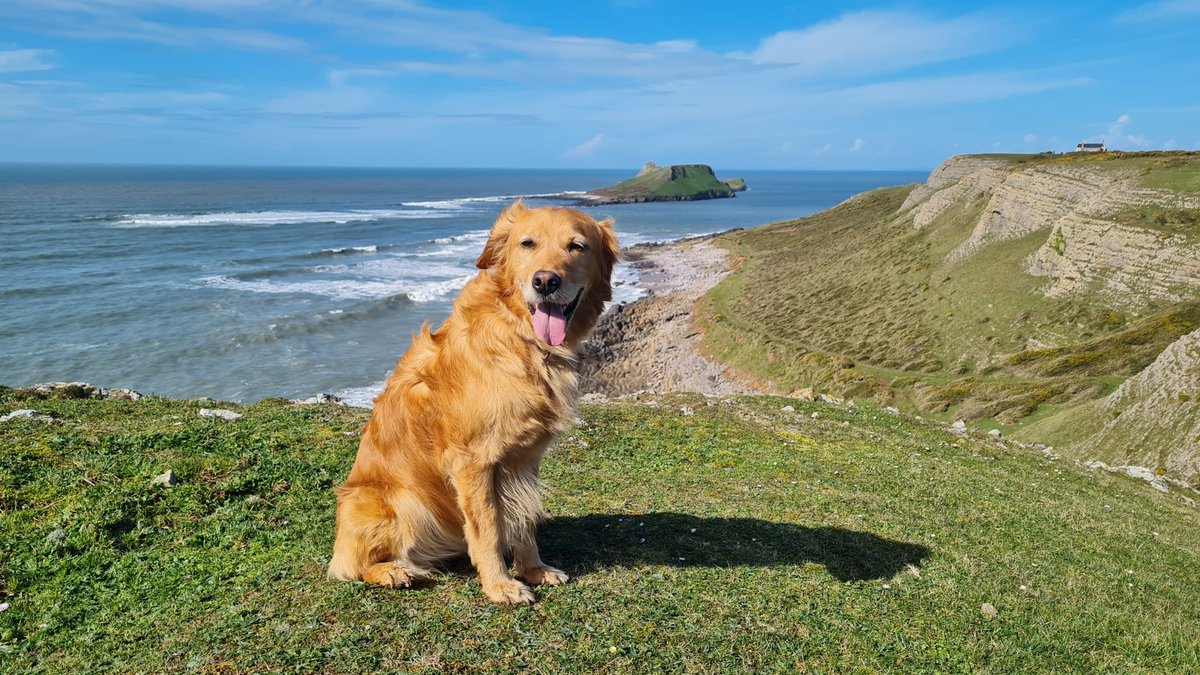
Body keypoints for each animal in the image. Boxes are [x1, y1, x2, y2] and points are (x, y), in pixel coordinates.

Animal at [328, 196, 619, 600]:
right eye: (527, 244)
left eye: (577, 246)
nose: (545, 282)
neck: (519, 338)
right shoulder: (473, 461)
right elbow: (487, 529)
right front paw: (500, 585)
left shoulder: (524, 458)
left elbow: (524, 517)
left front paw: (533, 569)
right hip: (396, 502)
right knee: (351, 567)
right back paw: (394, 571)